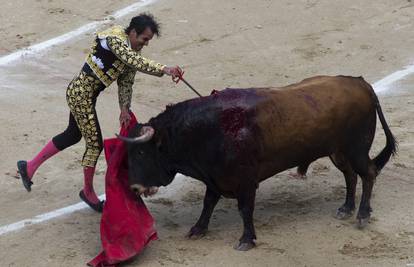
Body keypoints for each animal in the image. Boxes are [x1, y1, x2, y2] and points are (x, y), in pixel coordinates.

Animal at [118, 75, 396, 251]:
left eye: (141, 153)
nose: (134, 188)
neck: (208, 131)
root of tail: (362, 83)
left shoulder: (245, 182)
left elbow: (245, 209)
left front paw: (246, 240)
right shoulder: (215, 177)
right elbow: (208, 203)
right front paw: (198, 229)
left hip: (356, 149)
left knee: (368, 173)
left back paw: (362, 214)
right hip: (338, 152)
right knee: (350, 175)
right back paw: (346, 208)